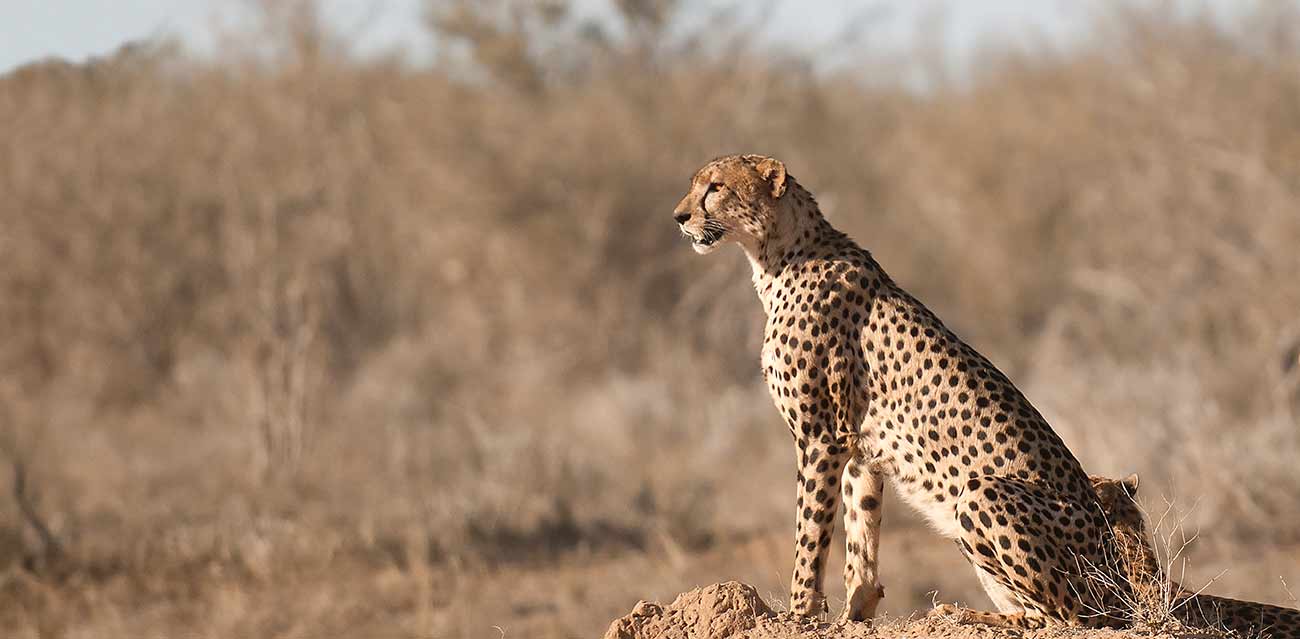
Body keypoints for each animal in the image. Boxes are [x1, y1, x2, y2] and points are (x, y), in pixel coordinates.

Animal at [676, 154, 1133, 623]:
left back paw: (958, 614)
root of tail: (1122, 579)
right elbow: (860, 537)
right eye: (696, 185)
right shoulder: (859, 450)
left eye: (715, 187)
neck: (780, 254)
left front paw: (800, 614)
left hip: (981, 494)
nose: (680, 217)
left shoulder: (821, 438)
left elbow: (810, 532)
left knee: (1059, 617)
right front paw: (853, 616)